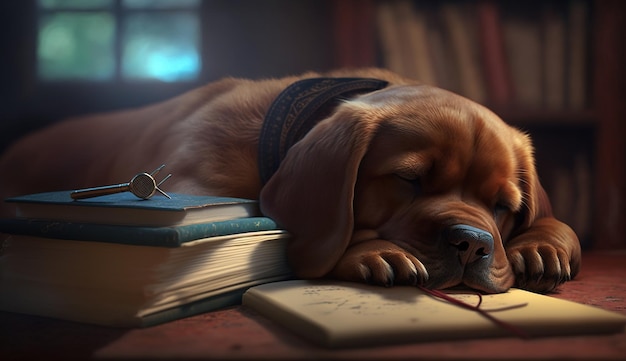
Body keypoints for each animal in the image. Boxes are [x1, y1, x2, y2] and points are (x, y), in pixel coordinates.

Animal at [0, 67, 580, 292]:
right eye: (409, 179)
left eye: (503, 207)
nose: (474, 244)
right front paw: (372, 253)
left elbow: (559, 222)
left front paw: (544, 242)